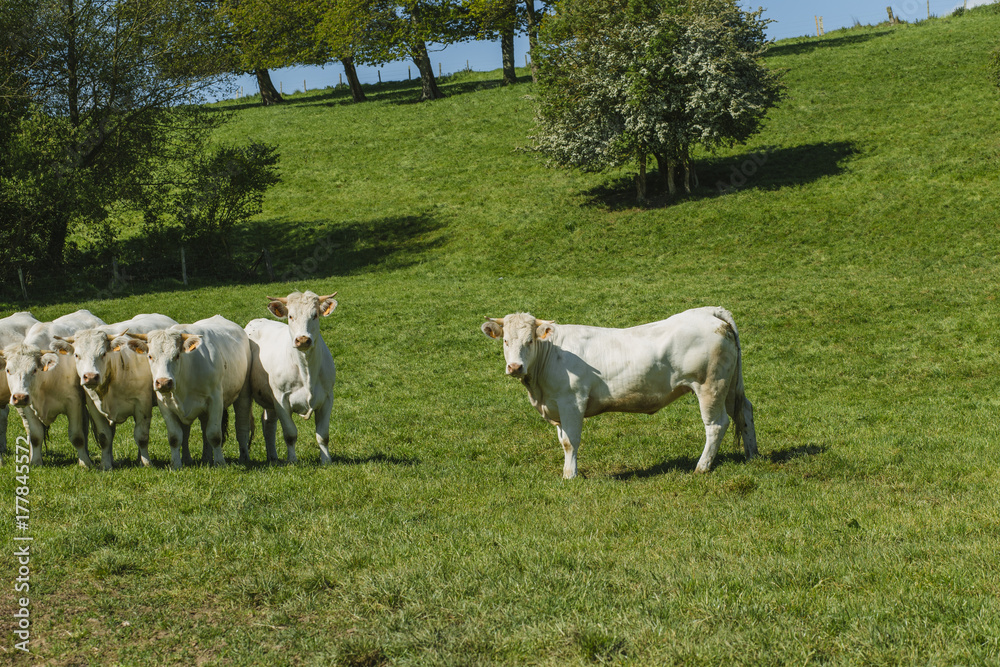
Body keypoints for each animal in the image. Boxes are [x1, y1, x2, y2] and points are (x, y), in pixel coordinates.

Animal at [51, 314, 178, 469]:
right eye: (76, 355)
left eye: (103, 353)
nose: (90, 377)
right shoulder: (93, 406)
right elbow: (105, 437)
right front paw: (106, 464)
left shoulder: (143, 403)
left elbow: (142, 437)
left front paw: (146, 463)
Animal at [126, 315, 252, 469]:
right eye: (150, 356)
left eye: (176, 356)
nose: (163, 382)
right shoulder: (165, 404)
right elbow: (175, 437)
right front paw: (176, 464)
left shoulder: (216, 400)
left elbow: (215, 435)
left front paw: (220, 462)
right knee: (201, 430)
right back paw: (203, 457)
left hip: (243, 394)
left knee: (241, 426)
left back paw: (243, 457)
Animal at [245, 291, 337, 464]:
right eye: (290, 316)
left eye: (315, 315)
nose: (303, 339)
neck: (306, 372)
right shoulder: (281, 399)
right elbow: (290, 434)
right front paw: (292, 460)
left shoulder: (327, 398)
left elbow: (323, 436)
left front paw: (326, 460)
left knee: (268, 423)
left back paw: (273, 456)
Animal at [480, 307, 757, 479]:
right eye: (505, 341)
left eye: (529, 341)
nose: (515, 367)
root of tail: (708, 311)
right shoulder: (555, 405)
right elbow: (562, 441)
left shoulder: (572, 401)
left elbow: (570, 442)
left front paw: (570, 476)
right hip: (730, 385)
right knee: (745, 411)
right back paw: (752, 455)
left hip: (711, 385)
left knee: (716, 425)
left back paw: (701, 467)